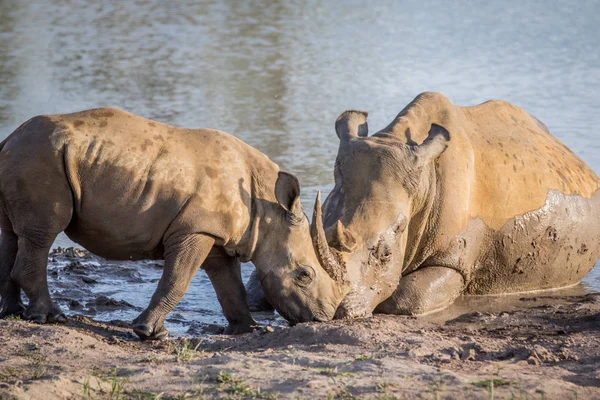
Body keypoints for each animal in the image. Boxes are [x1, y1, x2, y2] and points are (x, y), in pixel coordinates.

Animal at [0, 107, 342, 338]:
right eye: (304, 275)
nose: (323, 319)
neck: (268, 210)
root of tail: (9, 139)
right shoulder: (195, 229)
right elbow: (178, 279)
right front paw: (149, 333)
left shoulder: (216, 234)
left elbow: (229, 285)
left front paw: (251, 329)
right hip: (41, 158)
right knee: (43, 233)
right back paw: (51, 317)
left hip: (31, 156)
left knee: (12, 235)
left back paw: (14, 313)